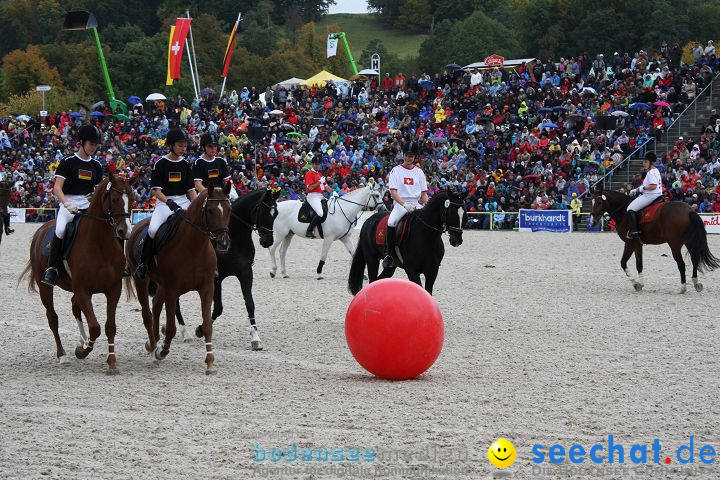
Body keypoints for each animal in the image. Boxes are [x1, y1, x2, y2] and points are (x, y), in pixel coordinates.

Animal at [19, 172, 137, 372]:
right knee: (53, 317)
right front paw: (82, 351)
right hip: (45, 287)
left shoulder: (113, 290)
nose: (125, 231)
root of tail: (41, 230)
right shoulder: (83, 290)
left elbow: (109, 326)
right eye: (114, 199)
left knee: (75, 307)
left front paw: (111, 362)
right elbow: (95, 327)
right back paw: (63, 355)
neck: (100, 244)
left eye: (133, 199)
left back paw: (81, 340)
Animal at [125, 182, 232, 374]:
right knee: (147, 312)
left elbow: (207, 325)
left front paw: (210, 363)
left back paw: (153, 341)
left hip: (161, 284)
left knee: (155, 306)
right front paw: (162, 352)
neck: (194, 247)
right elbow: (171, 328)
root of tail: (138, 224)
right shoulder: (172, 290)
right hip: (141, 279)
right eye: (210, 210)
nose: (224, 243)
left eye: (229, 209)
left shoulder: (207, 288)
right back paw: (153, 346)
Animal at [588, 188, 716, 292]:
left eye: (599, 202)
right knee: (694, 259)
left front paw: (635, 284)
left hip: (674, 245)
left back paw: (683, 288)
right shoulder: (638, 244)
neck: (624, 211)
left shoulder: (629, 243)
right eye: (591, 202)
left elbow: (623, 263)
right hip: (689, 241)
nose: (592, 222)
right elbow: (639, 264)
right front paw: (640, 284)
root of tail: (689, 210)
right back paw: (696, 283)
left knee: (681, 264)